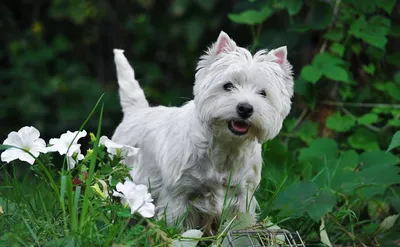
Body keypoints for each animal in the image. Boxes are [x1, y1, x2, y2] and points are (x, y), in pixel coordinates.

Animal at [111, 31, 292, 233]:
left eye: (263, 93)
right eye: (228, 86)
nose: (245, 108)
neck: (226, 148)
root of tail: (136, 111)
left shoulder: (243, 195)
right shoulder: (178, 195)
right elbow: (176, 225)